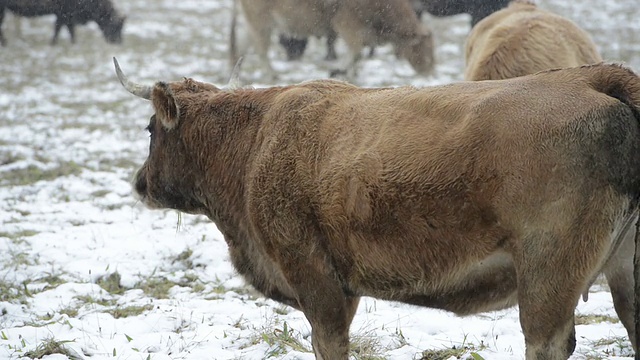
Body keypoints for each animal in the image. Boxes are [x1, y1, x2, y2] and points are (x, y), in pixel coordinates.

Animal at [114, 55, 640, 358]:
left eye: (149, 129)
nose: (139, 183)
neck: (256, 140)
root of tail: (595, 77)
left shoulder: (316, 277)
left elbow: (329, 342)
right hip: (622, 273)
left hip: (547, 277)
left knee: (546, 341)